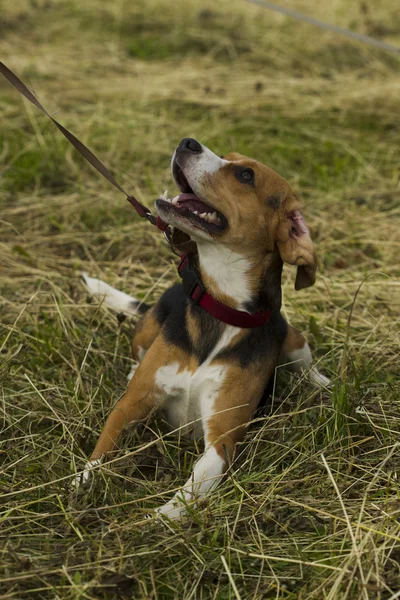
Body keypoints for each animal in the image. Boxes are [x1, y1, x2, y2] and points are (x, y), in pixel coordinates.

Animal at [76, 138, 330, 516]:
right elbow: (102, 449)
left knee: (306, 362)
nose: (187, 142)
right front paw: (82, 482)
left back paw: (323, 383)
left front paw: (153, 518)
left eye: (245, 174)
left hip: (292, 336)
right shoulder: (131, 405)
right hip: (151, 324)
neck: (221, 308)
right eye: (227, 155)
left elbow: (187, 494)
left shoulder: (221, 443)